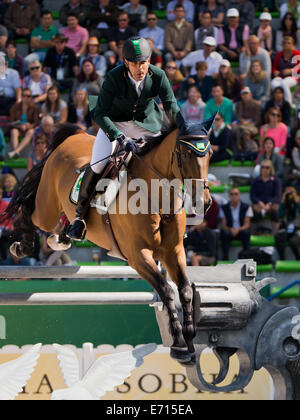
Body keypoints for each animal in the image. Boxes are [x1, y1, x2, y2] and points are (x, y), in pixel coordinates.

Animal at [2, 116, 213, 362]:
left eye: (209, 154)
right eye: (186, 154)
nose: (204, 201)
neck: (158, 198)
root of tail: (75, 135)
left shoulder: (174, 251)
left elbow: (186, 290)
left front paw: (190, 340)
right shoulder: (138, 256)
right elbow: (166, 291)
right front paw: (179, 345)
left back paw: (66, 234)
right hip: (47, 207)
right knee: (29, 208)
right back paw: (23, 246)